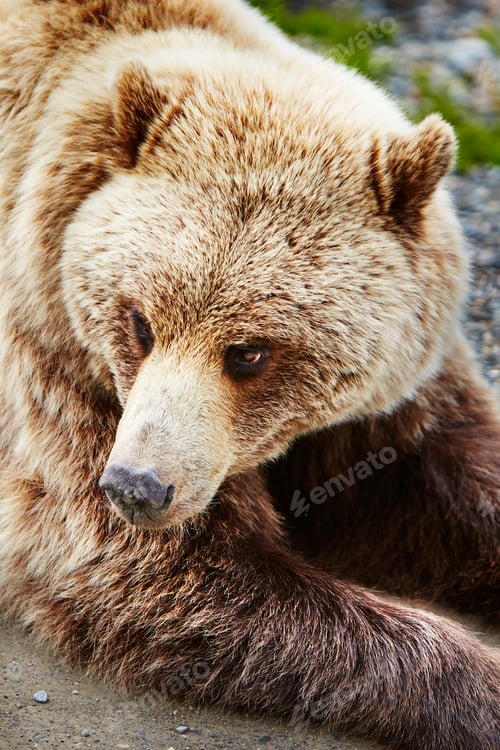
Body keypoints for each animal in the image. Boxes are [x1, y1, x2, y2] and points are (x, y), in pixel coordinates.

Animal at [0, 1, 498, 749]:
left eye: (249, 352)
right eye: (139, 320)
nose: (137, 486)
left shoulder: (389, 402)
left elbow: (444, 484)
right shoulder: (58, 369)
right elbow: (165, 572)